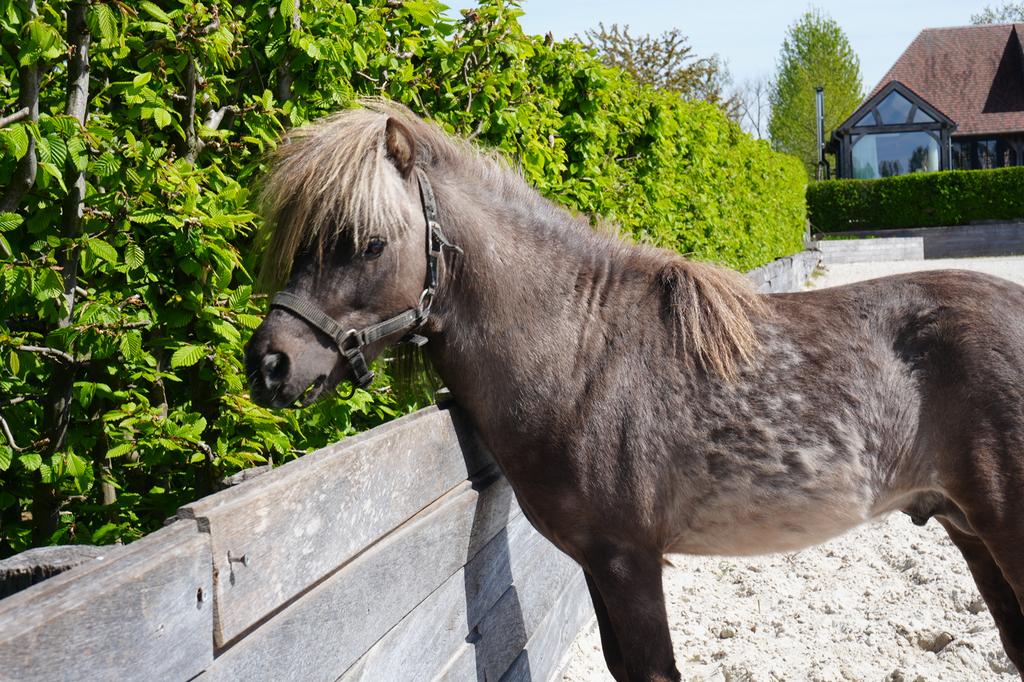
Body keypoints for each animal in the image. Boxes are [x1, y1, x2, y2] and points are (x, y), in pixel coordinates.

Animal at [244, 101, 1024, 681]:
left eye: (369, 243)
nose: (270, 364)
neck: (577, 356)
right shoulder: (598, 563)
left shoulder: (628, 562)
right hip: (967, 527)